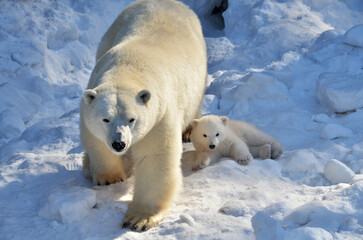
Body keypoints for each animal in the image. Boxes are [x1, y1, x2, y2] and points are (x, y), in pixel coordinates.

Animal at [80, 0, 206, 232]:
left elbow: (155, 157)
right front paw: (110, 177)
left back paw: (188, 131)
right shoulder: (88, 104)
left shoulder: (159, 115)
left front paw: (138, 218)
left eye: (132, 119)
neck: (127, 68)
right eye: (105, 119)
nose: (119, 143)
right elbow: (95, 141)